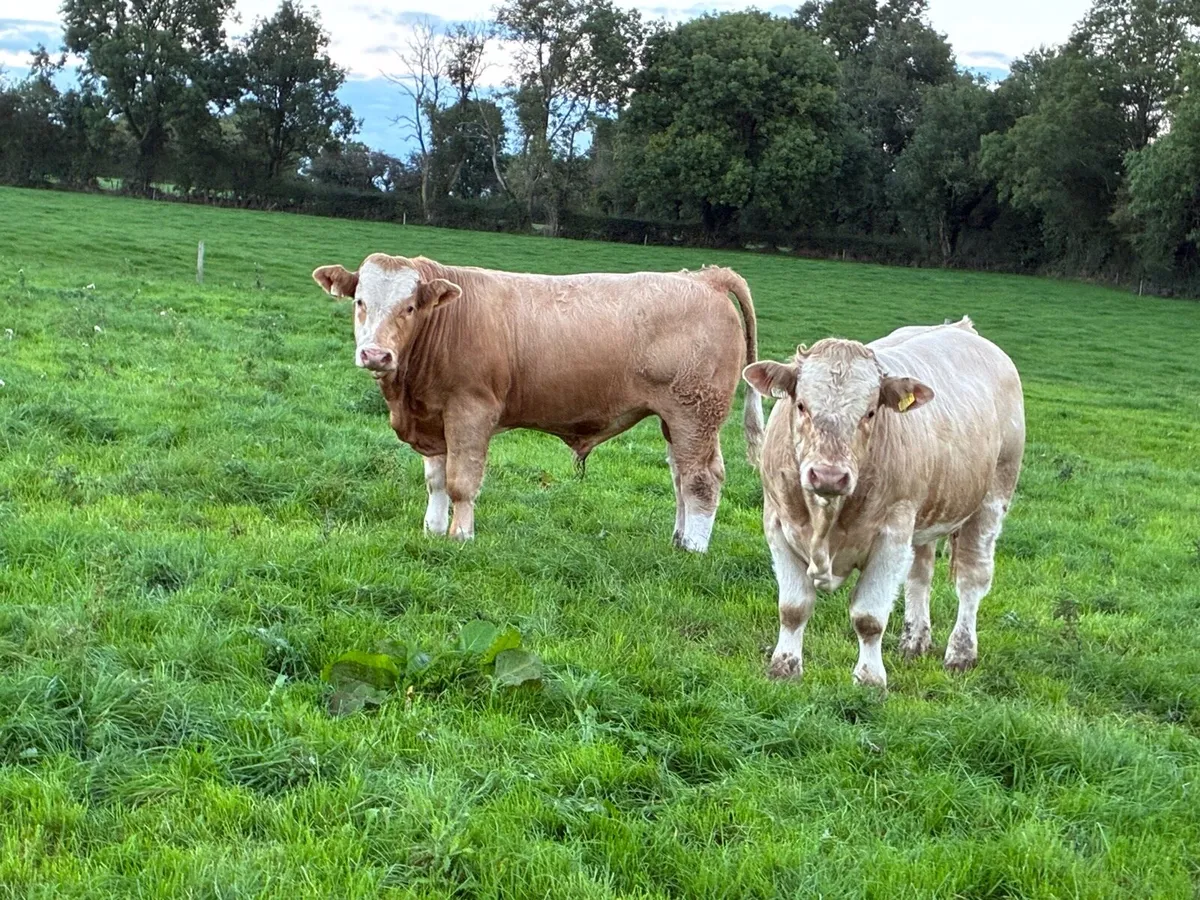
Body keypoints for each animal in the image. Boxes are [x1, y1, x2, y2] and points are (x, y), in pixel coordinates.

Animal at [312, 254, 764, 550]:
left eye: (409, 307)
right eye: (359, 302)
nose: (375, 355)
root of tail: (707, 277)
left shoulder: (471, 411)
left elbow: (461, 482)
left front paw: (461, 535)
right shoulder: (433, 417)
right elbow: (437, 480)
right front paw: (434, 530)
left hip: (696, 412)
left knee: (701, 480)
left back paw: (694, 549)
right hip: (676, 420)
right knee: (680, 477)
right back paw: (679, 539)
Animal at [742, 317, 1024, 687]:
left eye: (871, 412)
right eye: (801, 405)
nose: (829, 476)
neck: (825, 520)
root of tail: (962, 327)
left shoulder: (892, 534)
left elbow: (869, 617)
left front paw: (870, 679)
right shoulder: (777, 523)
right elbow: (793, 608)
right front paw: (784, 667)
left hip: (992, 498)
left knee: (971, 579)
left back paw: (960, 653)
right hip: (924, 518)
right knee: (920, 575)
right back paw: (915, 641)